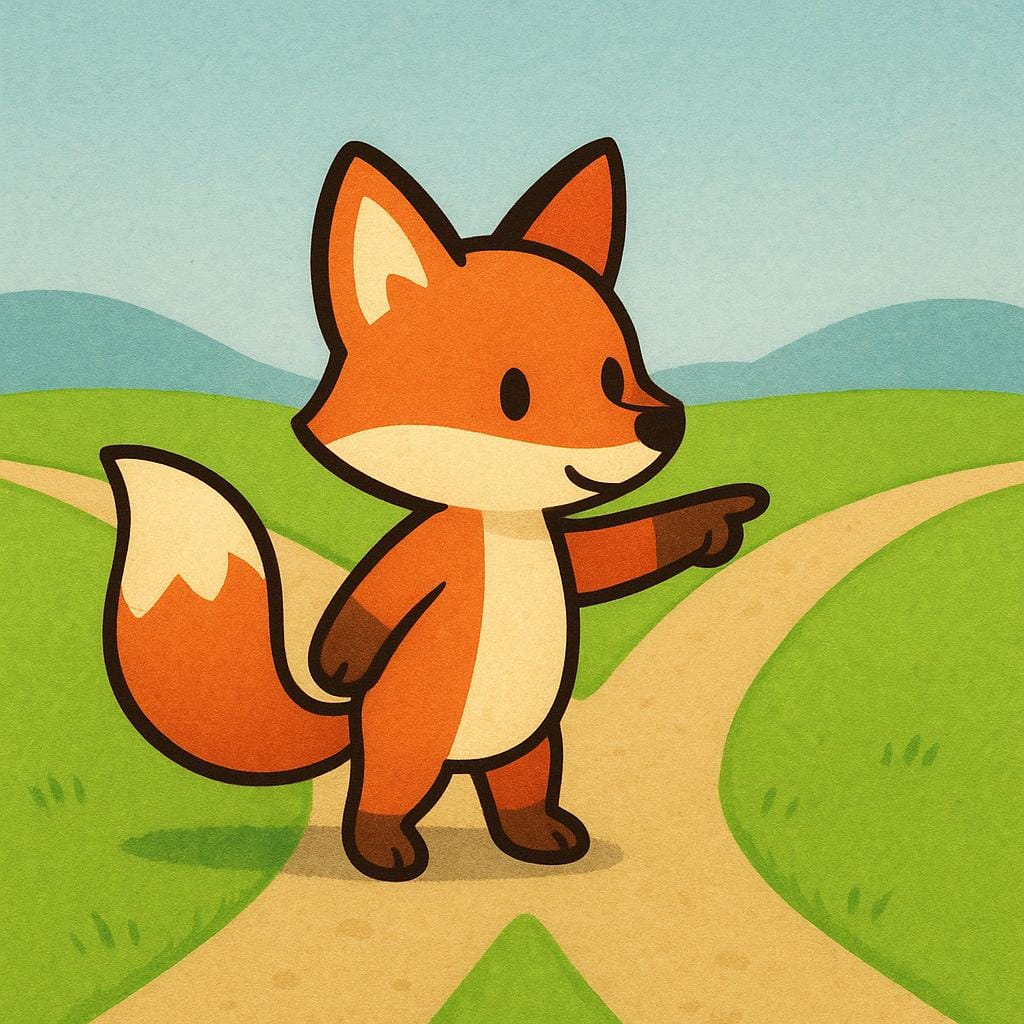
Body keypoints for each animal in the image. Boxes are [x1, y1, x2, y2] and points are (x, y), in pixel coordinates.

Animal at [101, 138, 769, 882]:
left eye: (615, 373)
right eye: (514, 394)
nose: (659, 423)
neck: (501, 520)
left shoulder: (561, 548)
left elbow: (615, 553)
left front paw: (715, 518)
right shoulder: (429, 550)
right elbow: (379, 598)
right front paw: (338, 662)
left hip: (532, 739)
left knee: (518, 785)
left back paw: (539, 833)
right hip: (409, 743)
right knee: (385, 794)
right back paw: (384, 847)